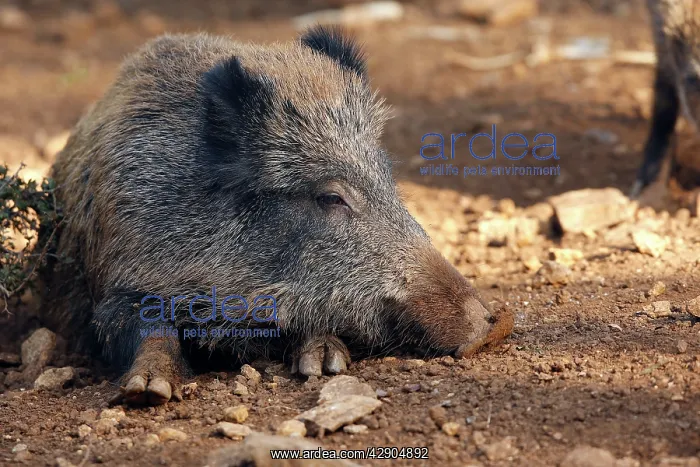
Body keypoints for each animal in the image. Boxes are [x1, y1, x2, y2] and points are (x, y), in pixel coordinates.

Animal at [40, 27, 513, 406]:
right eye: (331, 197)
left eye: (387, 178)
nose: (493, 324)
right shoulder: (118, 276)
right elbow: (144, 324)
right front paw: (148, 391)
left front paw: (327, 364)